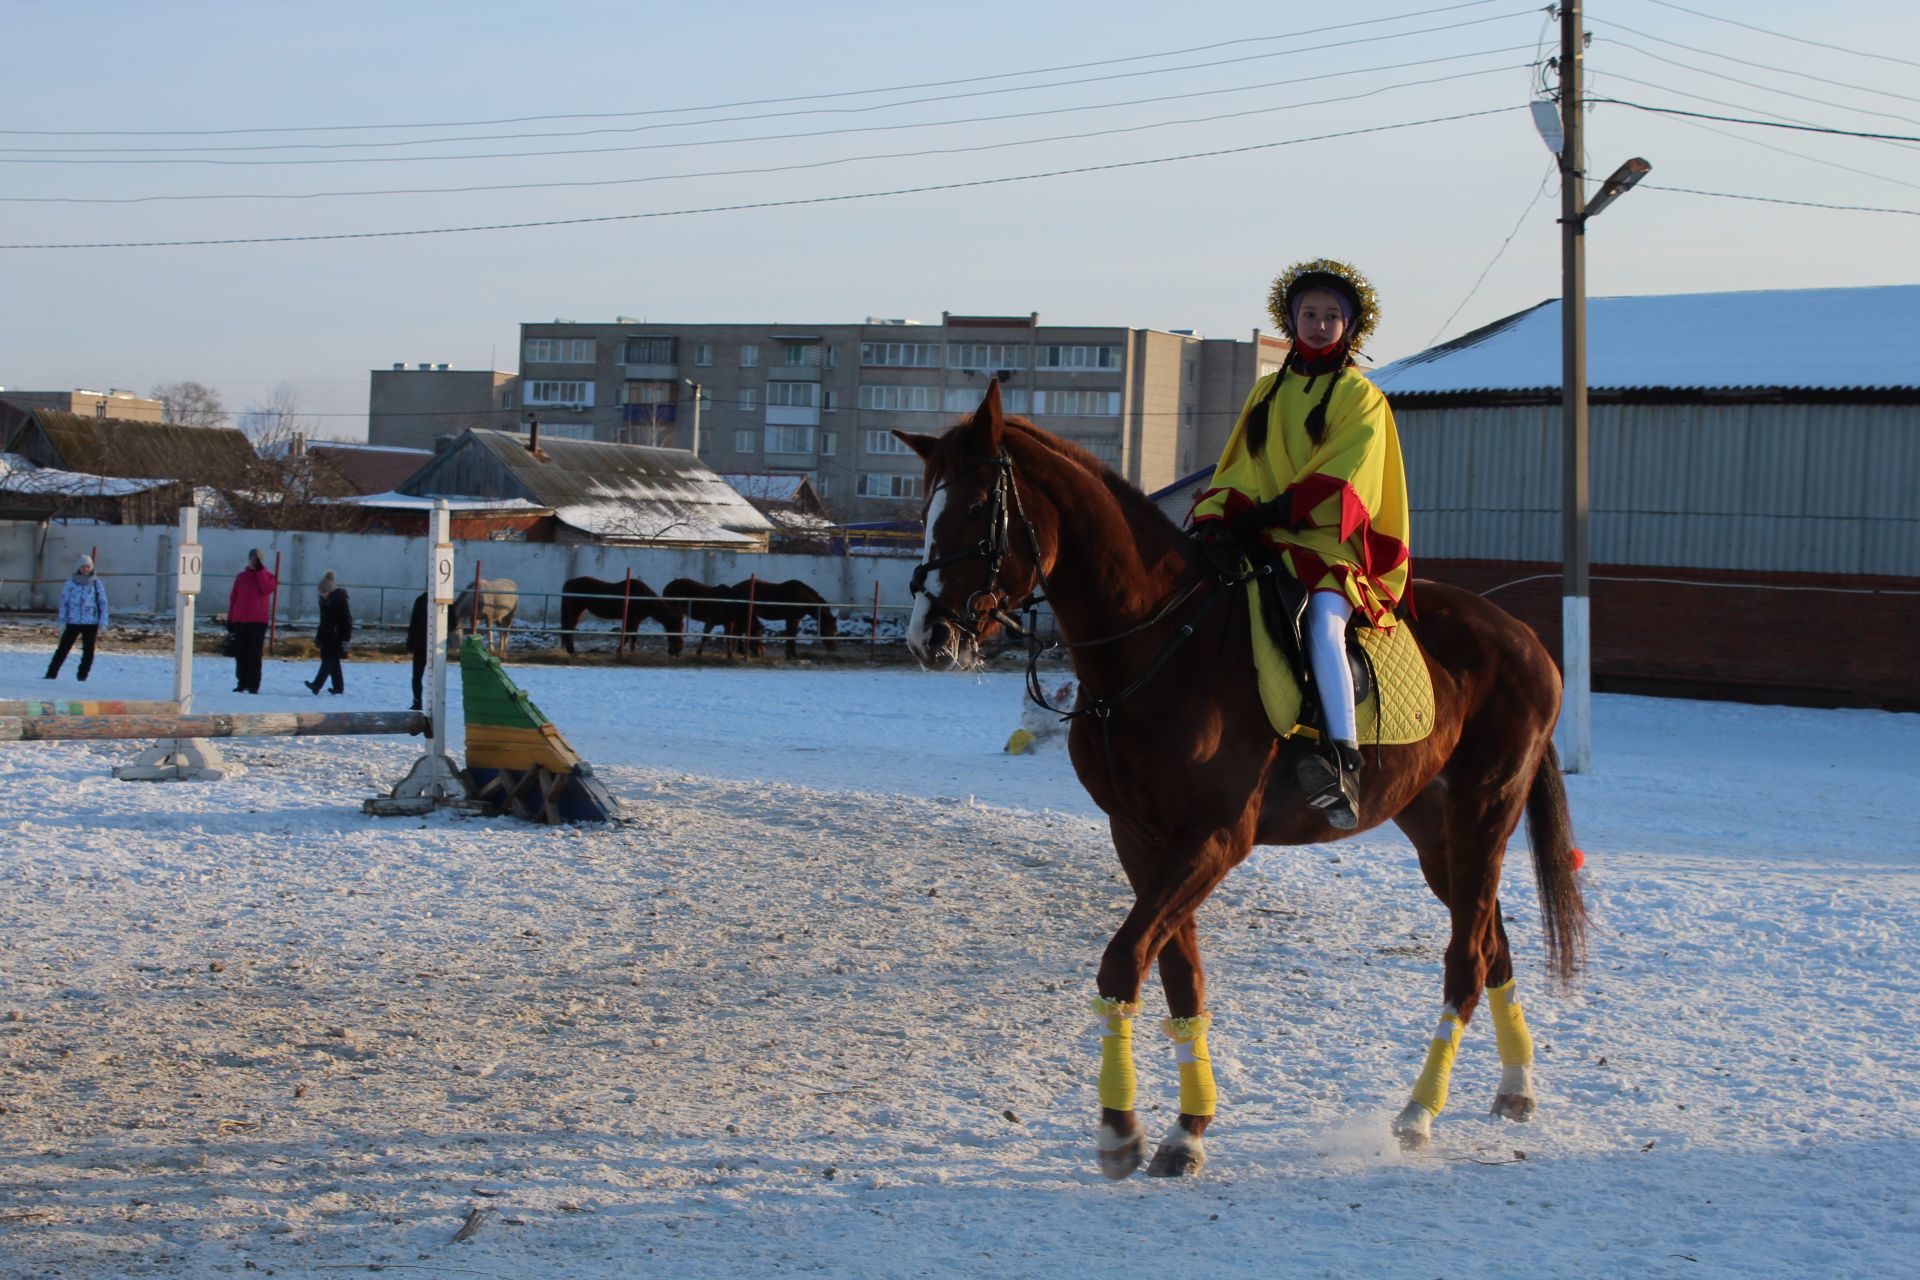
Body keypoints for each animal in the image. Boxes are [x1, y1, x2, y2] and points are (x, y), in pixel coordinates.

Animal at [890, 385, 1582, 1189]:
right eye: (925, 507)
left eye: (977, 508)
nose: (929, 637)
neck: (1157, 643)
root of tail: (1525, 638)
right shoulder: (1145, 840)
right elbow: (1178, 974)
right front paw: (1185, 1131)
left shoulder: (1214, 840)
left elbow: (1122, 960)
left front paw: (1120, 1129)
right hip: (1437, 836)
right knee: (1492, 943)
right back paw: (1515, 1088)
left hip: (1485, 814)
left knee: (1467, 959)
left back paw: (1418, 1114)